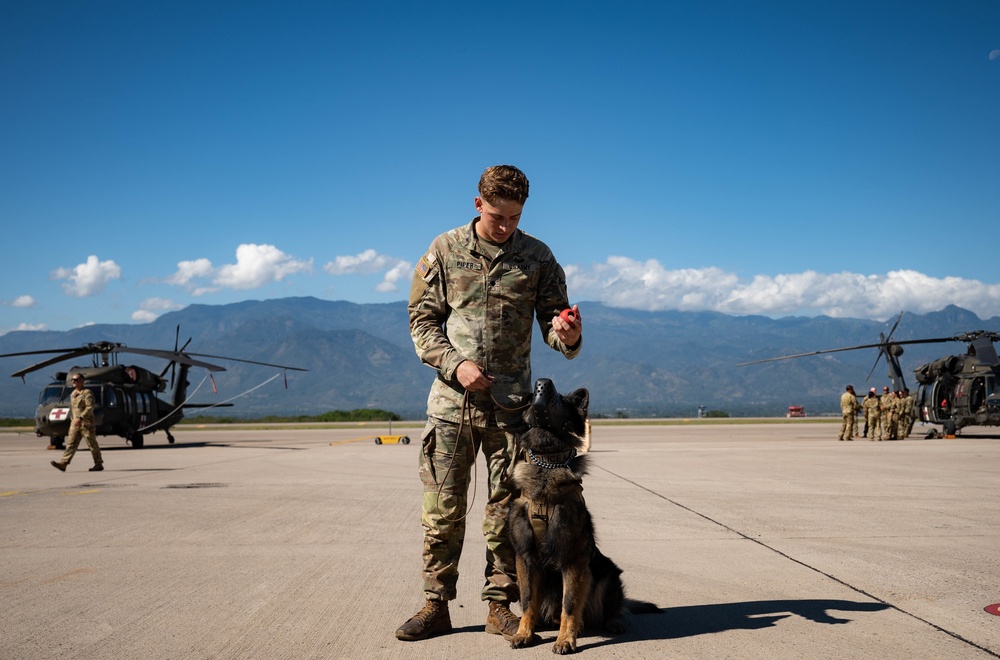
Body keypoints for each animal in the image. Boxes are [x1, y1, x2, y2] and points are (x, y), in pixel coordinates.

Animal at [508, 378, 656, 652]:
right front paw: (524, 633)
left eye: (562, 399)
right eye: (533, 395)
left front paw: (566, 640)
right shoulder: (525, 558)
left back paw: (611, 622)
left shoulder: (573, 559)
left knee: (611, 607)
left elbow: (569, 604)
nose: (542, 382)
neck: (547, 466)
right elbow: (527, 601)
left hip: (606, 573)